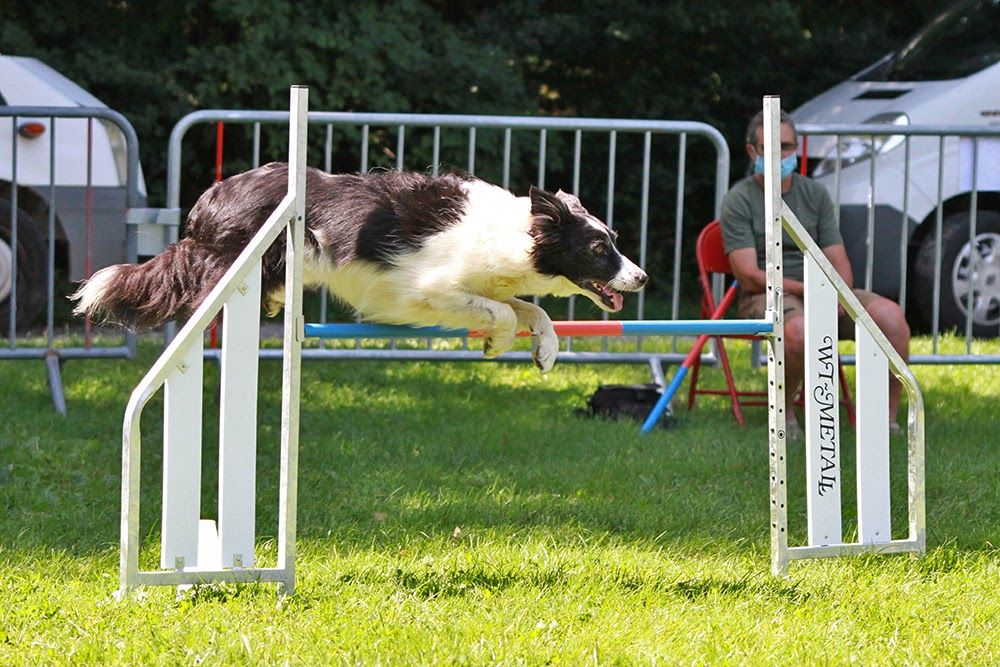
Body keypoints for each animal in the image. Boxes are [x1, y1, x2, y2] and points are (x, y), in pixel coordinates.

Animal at [72, 162, 648, 370]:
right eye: (599, 249)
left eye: (614, 242)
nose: (642, 277)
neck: (517, 233)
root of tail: (206, 201)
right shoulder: (427, 289)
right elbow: (506, 313)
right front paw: (497, 342)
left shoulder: (482, 284)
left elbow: (533, 309)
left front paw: (544, 350)